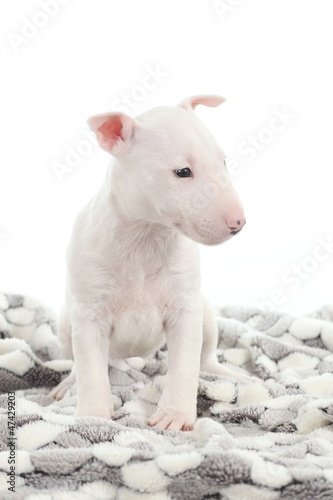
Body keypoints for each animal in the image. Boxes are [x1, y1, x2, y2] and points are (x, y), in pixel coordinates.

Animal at [50, 95, 248, 432]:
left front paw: (175, 416)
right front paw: (93, 417)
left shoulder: (185, 308)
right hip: (66, 324)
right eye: (183, 171)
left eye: (223, 162)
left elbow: (185, 363)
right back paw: (67, 385)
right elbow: (90, 367)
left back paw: (230, 375)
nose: (239, 223)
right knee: (81, 361)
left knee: (205, 357)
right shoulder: (88, 313)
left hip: (206, 313)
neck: (147, 234)